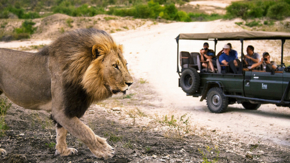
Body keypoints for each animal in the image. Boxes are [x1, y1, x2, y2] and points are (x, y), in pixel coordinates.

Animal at [0, 28, 133, 159]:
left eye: (126, 64)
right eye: (115, 66)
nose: (130, 83)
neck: (82, 78)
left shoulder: (69, 106)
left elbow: (62, 132)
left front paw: (63, 151)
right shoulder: (60, 111)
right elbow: (85, 131)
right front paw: (104, 150)